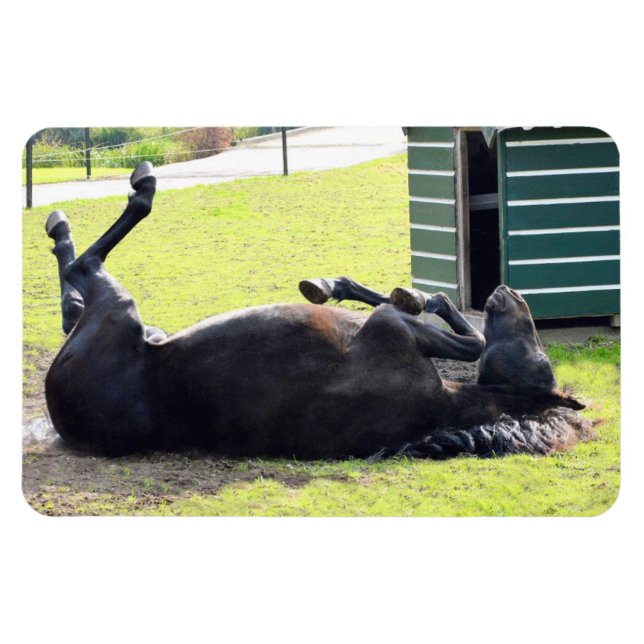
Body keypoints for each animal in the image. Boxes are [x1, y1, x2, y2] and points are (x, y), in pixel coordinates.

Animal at [44, 162, 592, 459]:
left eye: (541, 357)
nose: (510, 292)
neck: (446, 406)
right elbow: (425, 306)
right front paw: (339, 286)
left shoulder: (395, 330)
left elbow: (472, 340)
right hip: (142, 323)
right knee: (72, 294)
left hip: (119, 309)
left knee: (86, 269)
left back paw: (95, 207)